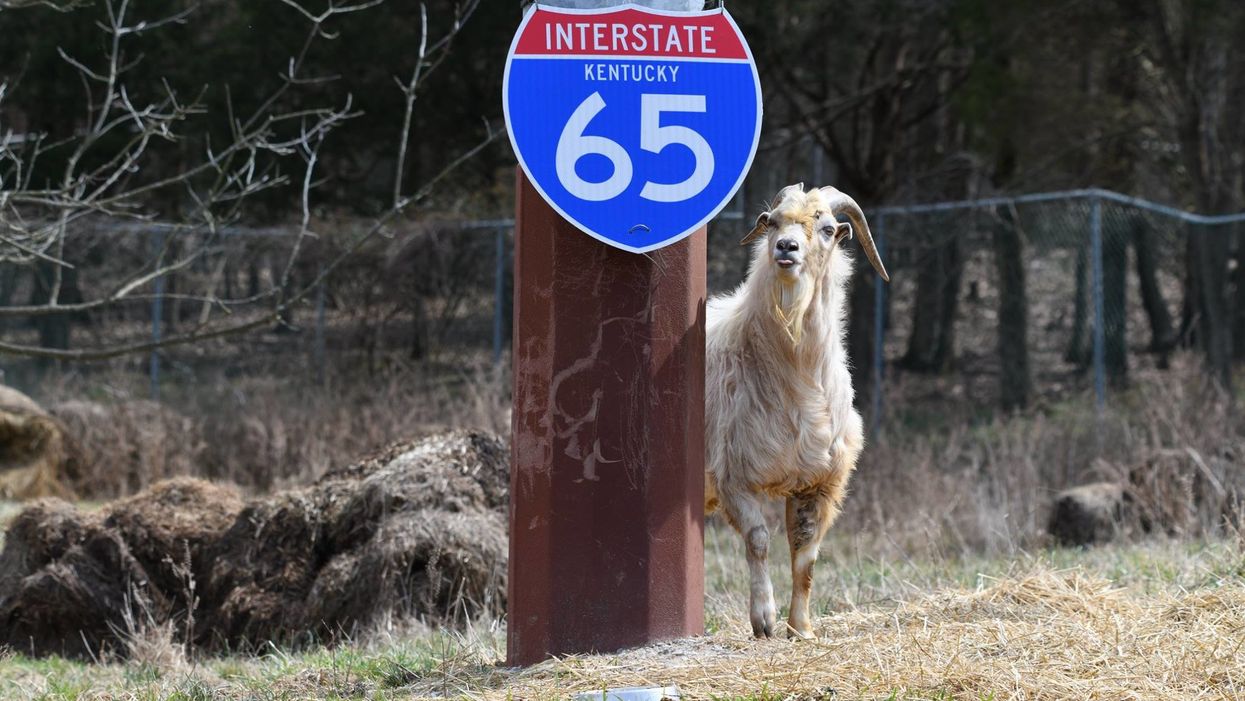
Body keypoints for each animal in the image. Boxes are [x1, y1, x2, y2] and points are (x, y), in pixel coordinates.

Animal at [707, 184, 891, 637]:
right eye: (772, 221)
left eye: (827, 228)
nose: (786, 248)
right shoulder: (733, 478)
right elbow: (758, 540)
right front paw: (764, 620)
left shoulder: (819, 483)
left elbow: (806, 556)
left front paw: (802, 629)